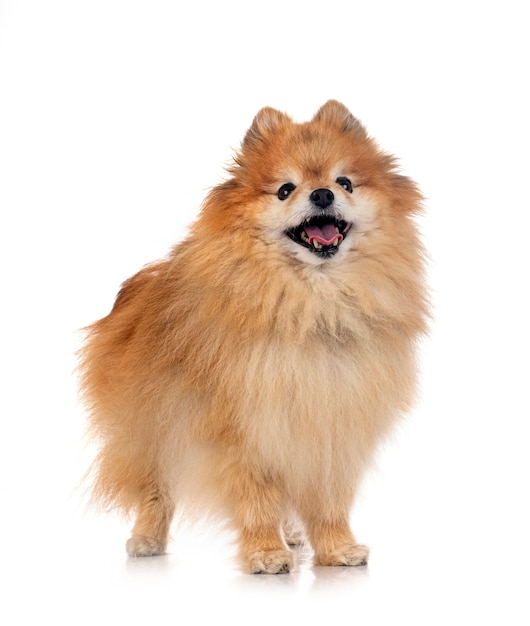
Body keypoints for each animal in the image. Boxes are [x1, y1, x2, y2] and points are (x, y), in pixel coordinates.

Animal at [79, 100, 424, 572]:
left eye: (345, 182)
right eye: (285, 190)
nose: (322, 194)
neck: (316, 306)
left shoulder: (333, 426)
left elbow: (328, 501)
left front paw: (335, 547)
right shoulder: (243, 431)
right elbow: (256, 498)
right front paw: (265, 551)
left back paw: (294, 535)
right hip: (150, 428)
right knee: (156, 489)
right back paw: (148, 538)